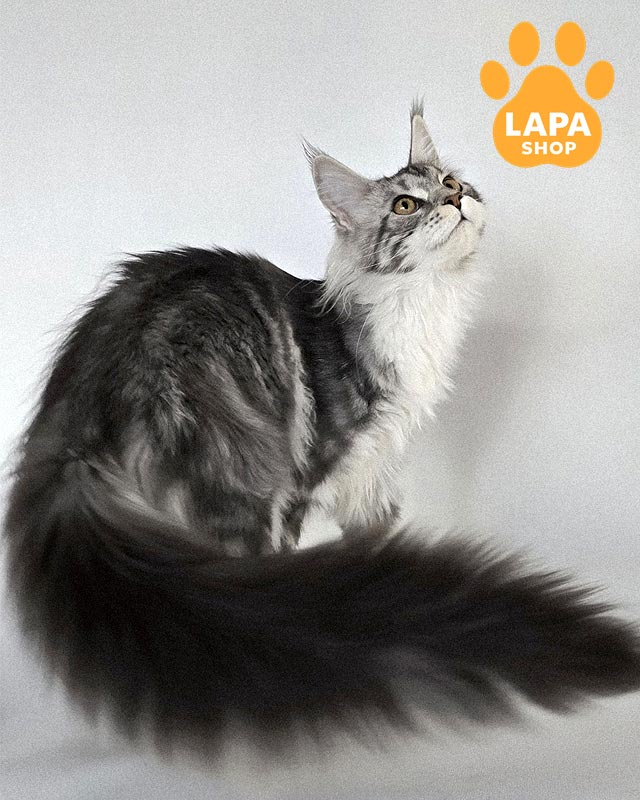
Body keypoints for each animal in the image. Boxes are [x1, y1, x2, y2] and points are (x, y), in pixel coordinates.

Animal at [4, 104, 640, 755]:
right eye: (405, 205)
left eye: (450, 181)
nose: (455, 198)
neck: (419, 307)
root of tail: (91, 388)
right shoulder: (319, 468)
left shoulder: (372, 477)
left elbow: (375, 549)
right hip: (245, 472)